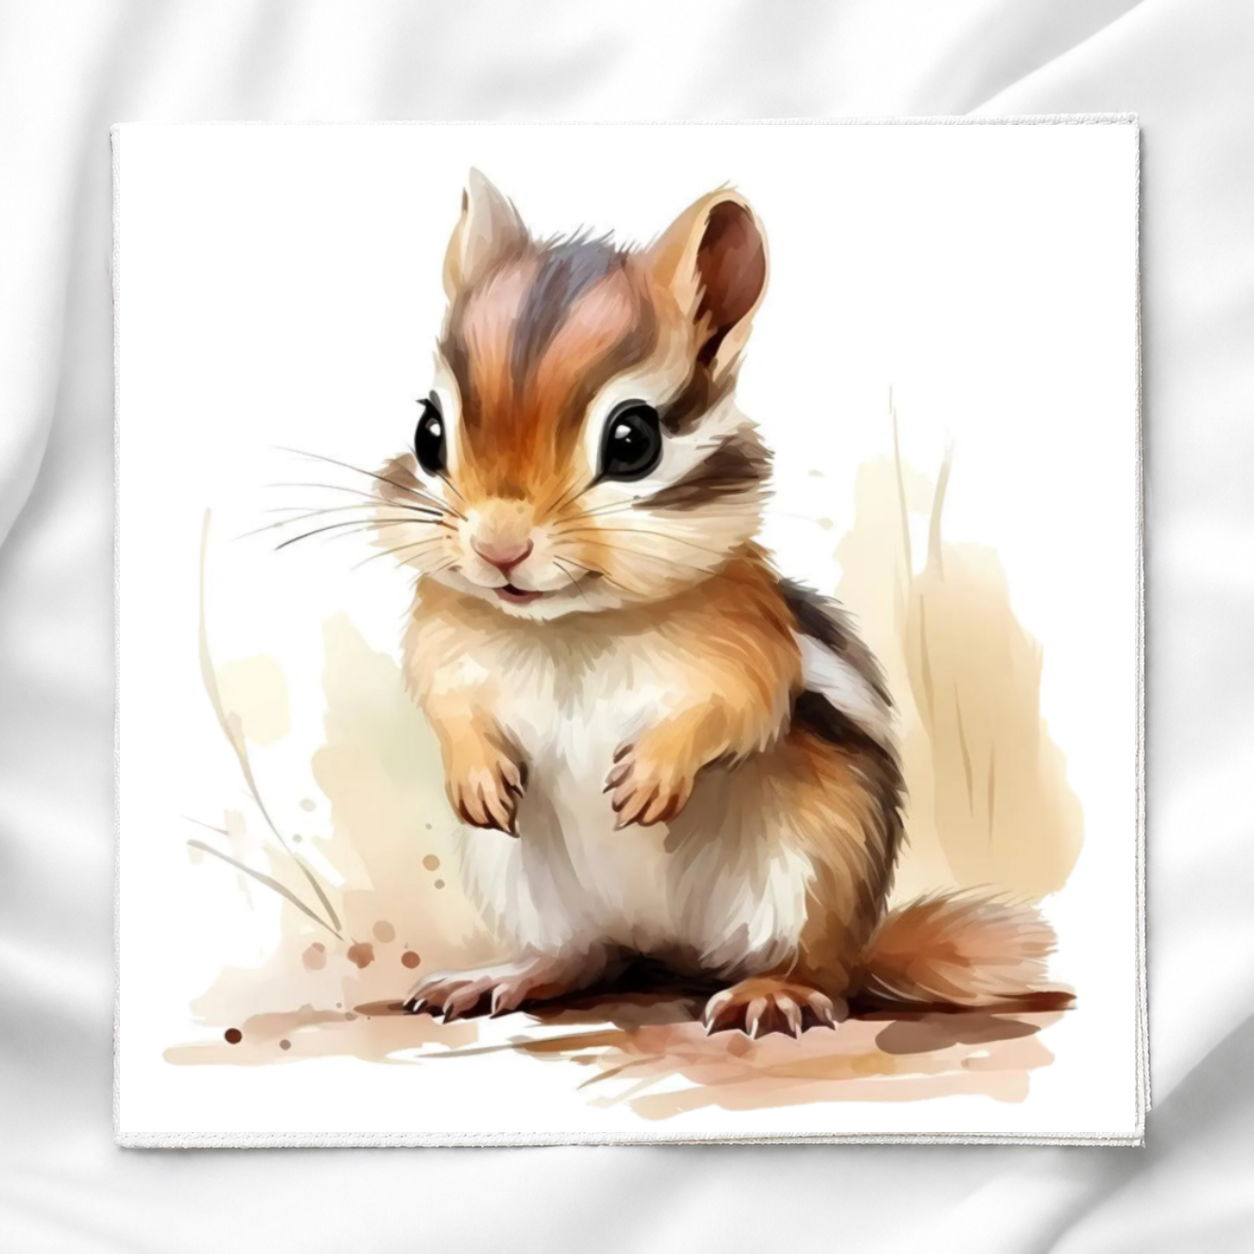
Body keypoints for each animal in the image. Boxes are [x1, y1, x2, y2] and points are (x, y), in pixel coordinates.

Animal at [375, 170, 1061, 1037]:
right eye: (428, 433)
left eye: (633, 441)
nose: (500, 548)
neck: (571, 626)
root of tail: (666, 943)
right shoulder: (443, 640)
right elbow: (444, 702)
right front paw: (473, 772)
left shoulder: (748, 643)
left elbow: (735, 706)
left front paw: (653, 776)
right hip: (527, 887)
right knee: (587, 956)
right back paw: (503, 974)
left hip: (814, 869)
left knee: (822, 975)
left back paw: (773, 992)